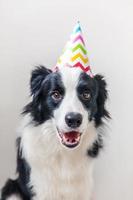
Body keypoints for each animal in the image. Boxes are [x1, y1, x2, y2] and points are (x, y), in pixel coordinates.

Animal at [0, 65, 109, 199]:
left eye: (86, 94)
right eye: (56, 94)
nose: (73, 119)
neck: (63, 151)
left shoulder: (82, 189)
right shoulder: (41, 188)